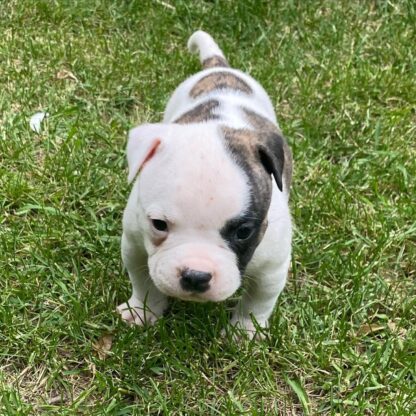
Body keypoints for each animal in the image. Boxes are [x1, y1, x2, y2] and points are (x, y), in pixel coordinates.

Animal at [117, 31, 292, 338]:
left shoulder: (272, 268)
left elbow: (258, 302)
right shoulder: (135, 246)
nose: (195, 276)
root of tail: (219, 69)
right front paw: (142, 311)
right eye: (158, 224)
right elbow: (143, 282)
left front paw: (244, 332)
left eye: (244, 232)